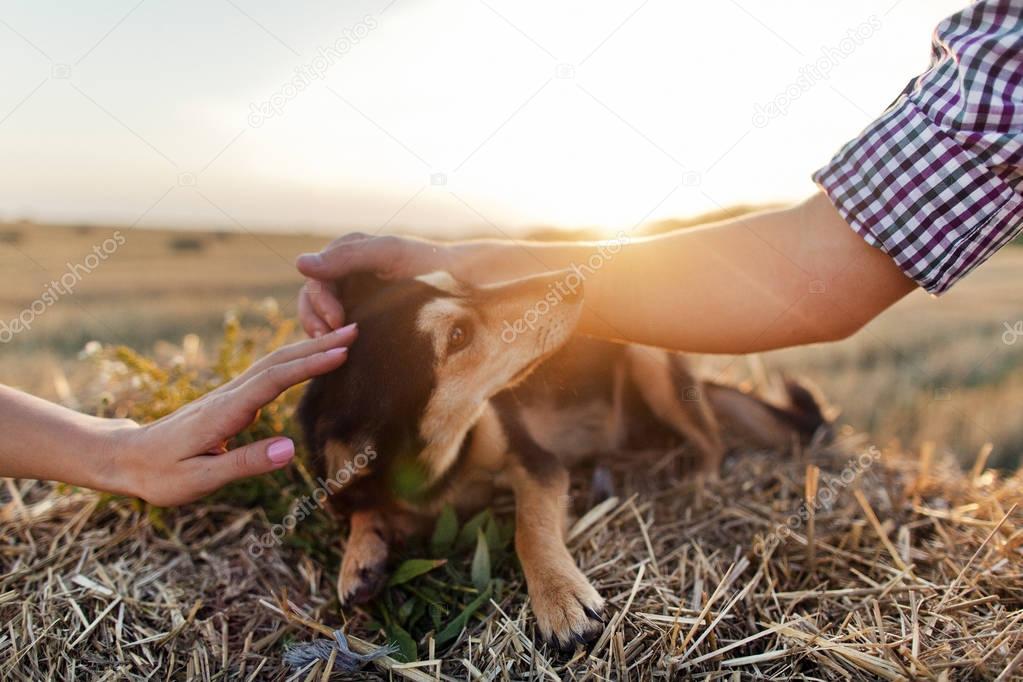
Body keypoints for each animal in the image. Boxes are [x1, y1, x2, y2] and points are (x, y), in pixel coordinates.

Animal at [298, 269, 830, 650]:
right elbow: (365, 507)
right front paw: (360, 558)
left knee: (713, 444)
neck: (445, 458)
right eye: (458, 336)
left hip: (649, 363)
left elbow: (529, 528)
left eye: (459, 279)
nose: (575, 277)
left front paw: (560, 598)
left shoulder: (537, 462)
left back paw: (698, 483)